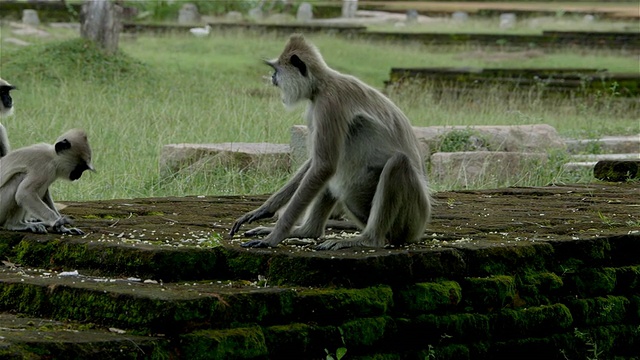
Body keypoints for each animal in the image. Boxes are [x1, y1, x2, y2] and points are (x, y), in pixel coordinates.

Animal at [228, 34, 432, 250]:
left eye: (277, 70)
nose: (273, 78)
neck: (323, 84)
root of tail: (420, 229)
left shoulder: (329, 104)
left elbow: (323, 165)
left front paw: (274, 237)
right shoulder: (315, 107)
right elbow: (317, 163)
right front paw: (264, 210)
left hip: (412, 217)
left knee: (397, 163)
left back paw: (368, 239)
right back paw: (306, 231)